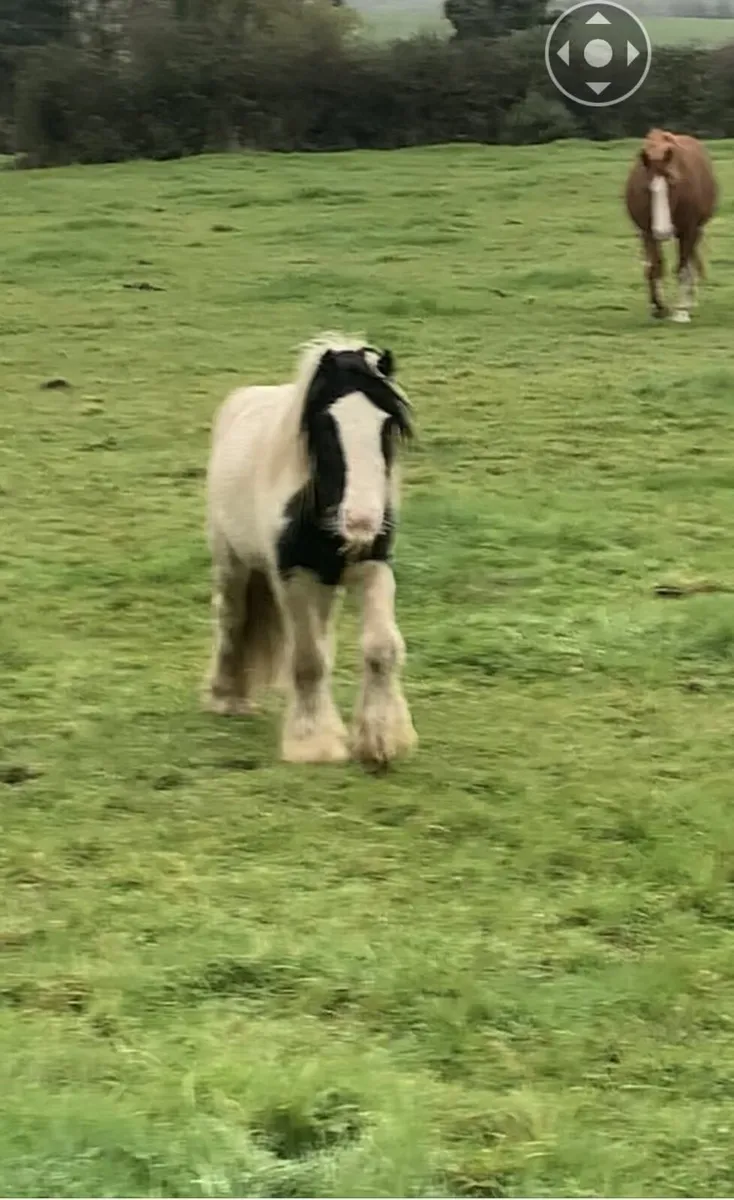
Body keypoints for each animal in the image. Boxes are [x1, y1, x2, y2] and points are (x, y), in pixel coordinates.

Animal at [203, 333, 418, 767]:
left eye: (387, 423)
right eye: (324, 422)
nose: (361, 522)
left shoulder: (372, 565)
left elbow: (381, 647)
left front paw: (382, 739)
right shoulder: (294, 576)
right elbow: (308, 660)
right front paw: (313, 742)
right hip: (232, 561)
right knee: (232, 620)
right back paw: (226, 697)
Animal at [624, 128, 718, 323]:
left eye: (673, 183)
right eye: (646, 188)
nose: (663, 231)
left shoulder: (689, 230)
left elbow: (682, 267)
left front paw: (681, 311)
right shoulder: (647, 232)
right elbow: (655, 266)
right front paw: (658, 307)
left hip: (695, 230)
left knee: (688, 262)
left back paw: (688, 300)